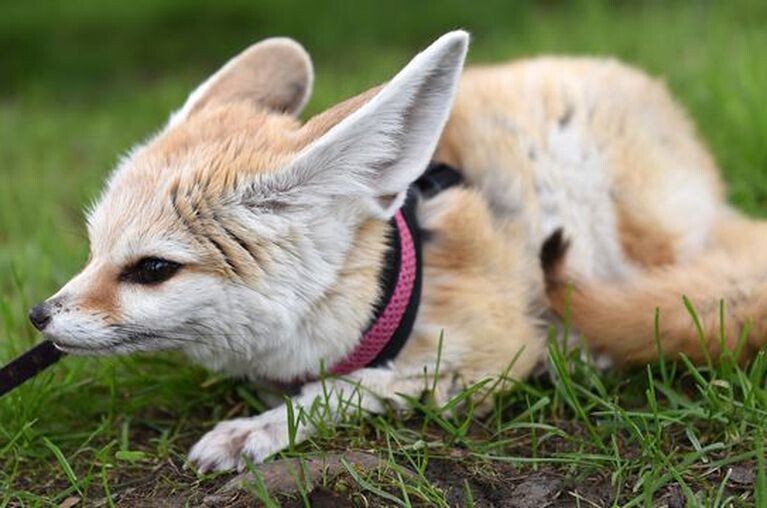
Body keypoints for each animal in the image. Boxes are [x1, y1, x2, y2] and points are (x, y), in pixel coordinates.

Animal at [26, 30, 767, 472]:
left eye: (152, 269)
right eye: (93, 249)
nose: (39, 315)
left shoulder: (492, 352)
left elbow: (347, 388)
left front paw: (258, 429)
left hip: (616, 216)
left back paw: (588, 346)